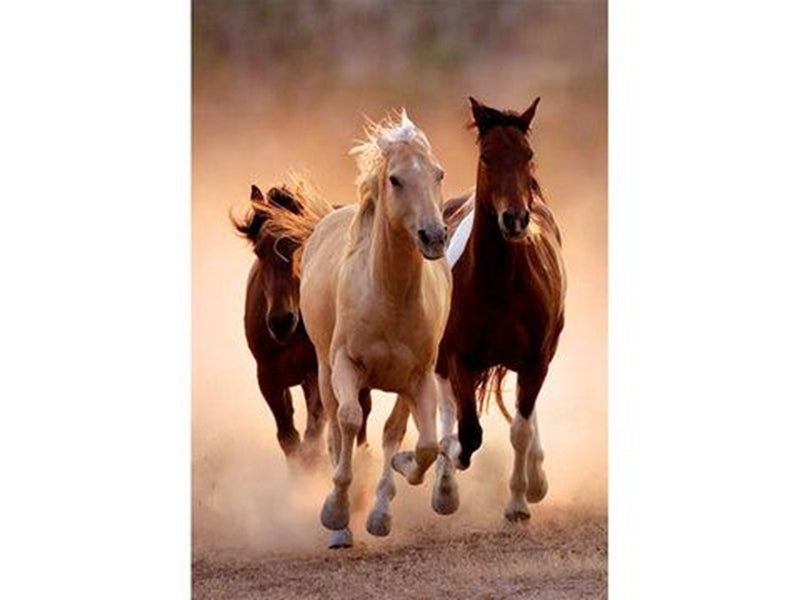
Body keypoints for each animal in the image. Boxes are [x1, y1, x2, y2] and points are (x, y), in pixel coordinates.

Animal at [231, 184, 372, 466]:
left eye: (300, 245)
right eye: (259, 251)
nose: (281, 321)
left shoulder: (315, 372)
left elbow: (312, 437)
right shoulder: (268, 377)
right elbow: (289, 438)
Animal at [261, 110, 452, 547]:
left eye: (438, 173)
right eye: (395, 179)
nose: (434, 236)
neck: (391, 297)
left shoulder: (418, 378)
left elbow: (421, 443)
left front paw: (394, 483)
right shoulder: (345, 365)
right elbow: (347, 423)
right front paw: (335, 512)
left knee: (389, 431)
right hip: (323, 371)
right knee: (335, 426)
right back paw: (341, 525)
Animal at [432, 97, 566, 523]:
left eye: (528, 155)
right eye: (487, 157)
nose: (515, 219)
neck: (500, 284)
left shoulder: (536, 358)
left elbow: (520, 429)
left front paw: (520, 502)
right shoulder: (458, 356)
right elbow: (468, 431)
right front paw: (452, 469)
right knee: (446, 407)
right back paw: (444, 485)